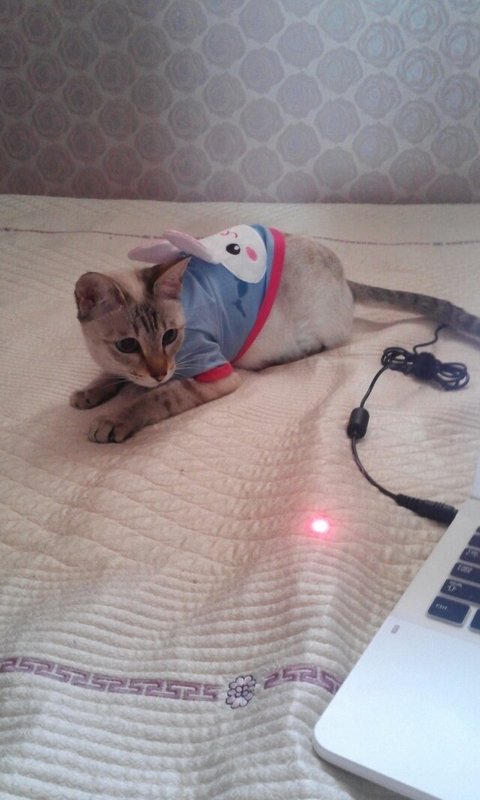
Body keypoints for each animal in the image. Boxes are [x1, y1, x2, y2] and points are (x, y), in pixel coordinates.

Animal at [71, 225, 480, 443]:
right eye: (127, 345)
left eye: (170, 337)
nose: (159, 371)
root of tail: (344, 276)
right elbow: (112, 375)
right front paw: (89, 394)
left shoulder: (212, 374)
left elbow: (153, 399)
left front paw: (114, 420)